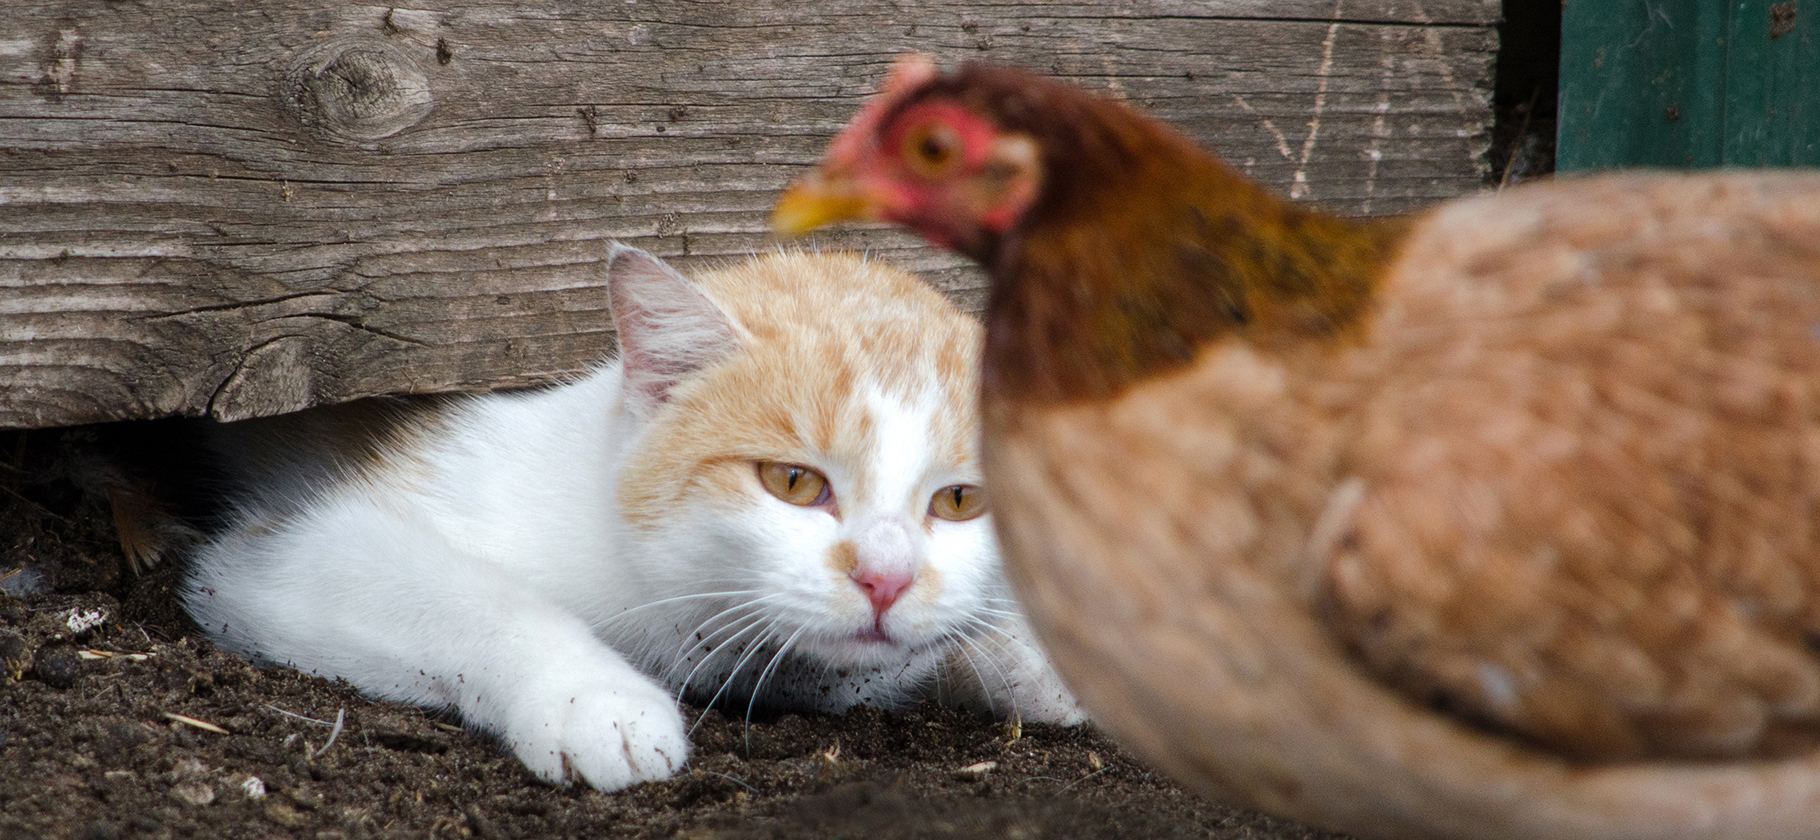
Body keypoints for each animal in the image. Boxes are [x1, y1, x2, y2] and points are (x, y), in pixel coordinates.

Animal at [181, 245, 1077, 789]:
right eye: (792, 482)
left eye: (960, 500)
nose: (887, 580)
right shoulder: (281, 558)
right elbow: (472, 596)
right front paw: (592, 697)